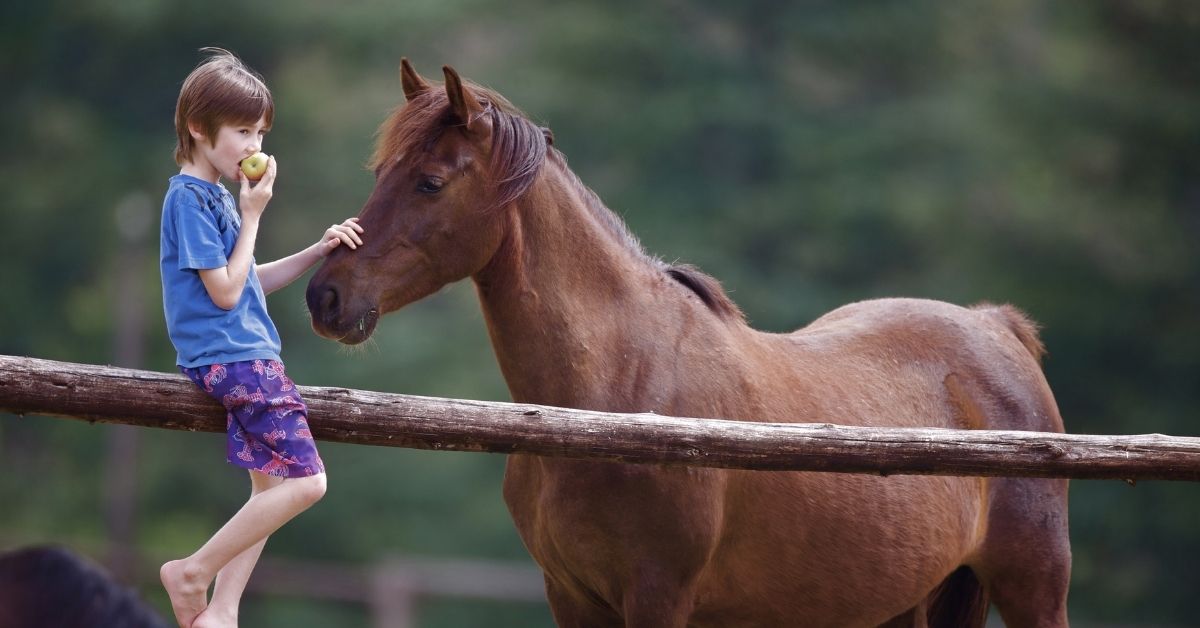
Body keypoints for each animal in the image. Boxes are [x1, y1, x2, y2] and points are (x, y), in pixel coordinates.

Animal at [304, 60, 1075, 628]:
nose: (326, 296)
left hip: (1034, 589)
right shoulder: (573, 599)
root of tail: (994, 326)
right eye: (382, 173)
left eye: (431, 182)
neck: (608, 396)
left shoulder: (658, 595)